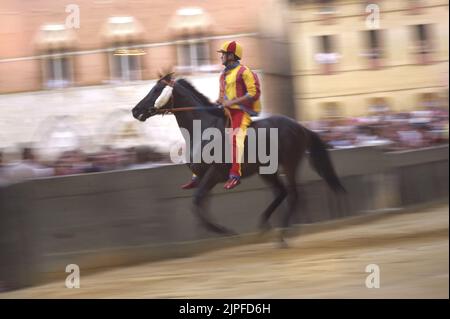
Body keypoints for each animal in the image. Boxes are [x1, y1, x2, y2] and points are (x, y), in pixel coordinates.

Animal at [130, 73, 344, 245]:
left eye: (156, 90)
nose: (135, 110)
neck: (202, 130)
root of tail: (300, 127)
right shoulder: (203, 177)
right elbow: (200, 206)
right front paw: (221, 232)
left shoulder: (214, 173)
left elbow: (197, 202)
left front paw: (229, 232)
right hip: (266, 170)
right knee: (281, 192)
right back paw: (265, 226)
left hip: (290, 163)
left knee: (293, 195)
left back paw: (282, 235)